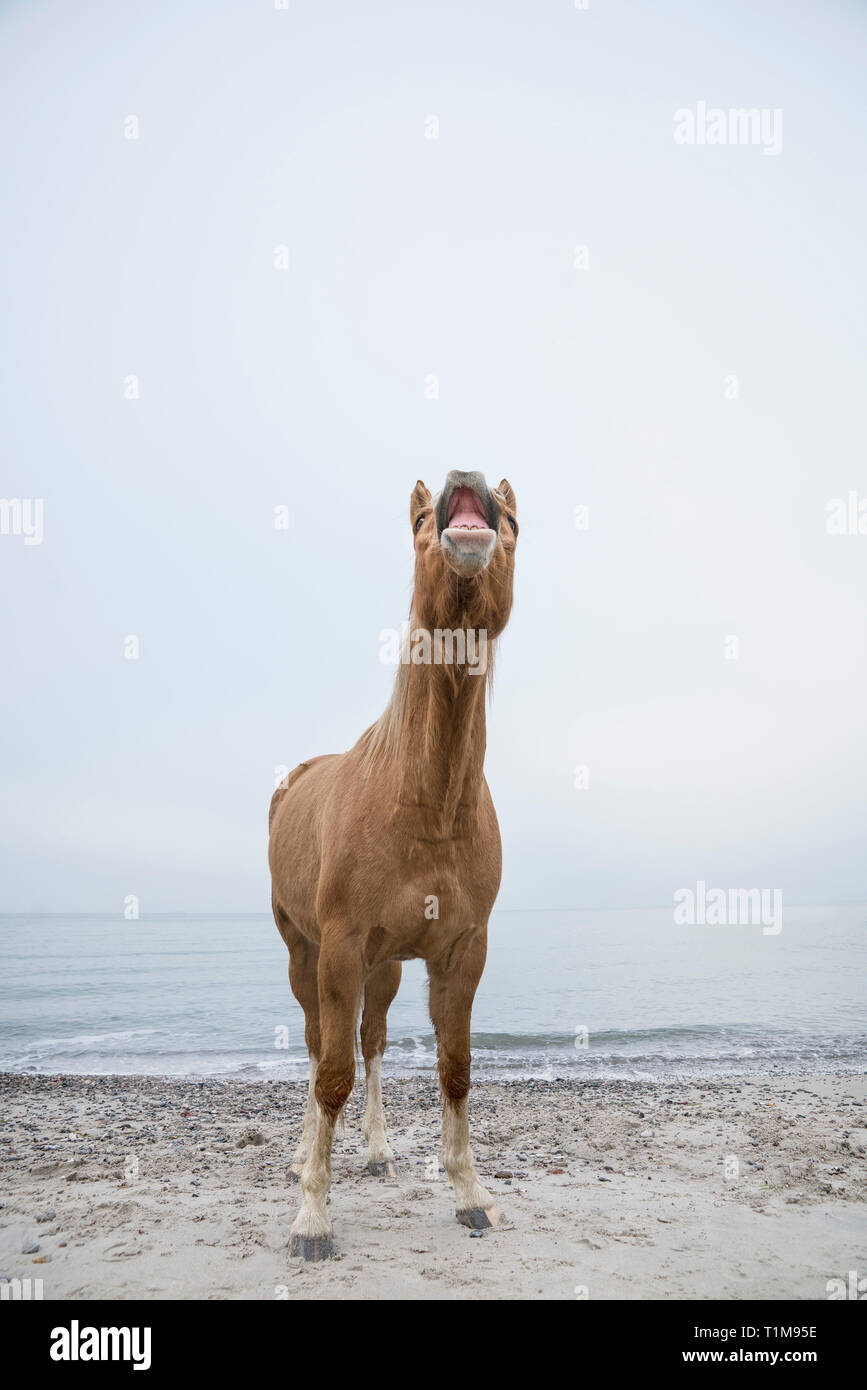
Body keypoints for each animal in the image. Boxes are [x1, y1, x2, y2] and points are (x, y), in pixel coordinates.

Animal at [268, 467, 516, 1262]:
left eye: (513, 523)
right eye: (414, 522)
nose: (466, 479)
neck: (423, 804)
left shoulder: (462, 951)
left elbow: (454, 1068)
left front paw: (470, 1194)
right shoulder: (339, 950)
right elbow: (332, 1072)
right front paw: (311, 1215)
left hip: (385, 968)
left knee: (371, 1042)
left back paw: (375, 1152)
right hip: (305, 954)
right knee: (320, 1044)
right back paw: (303, 1152)